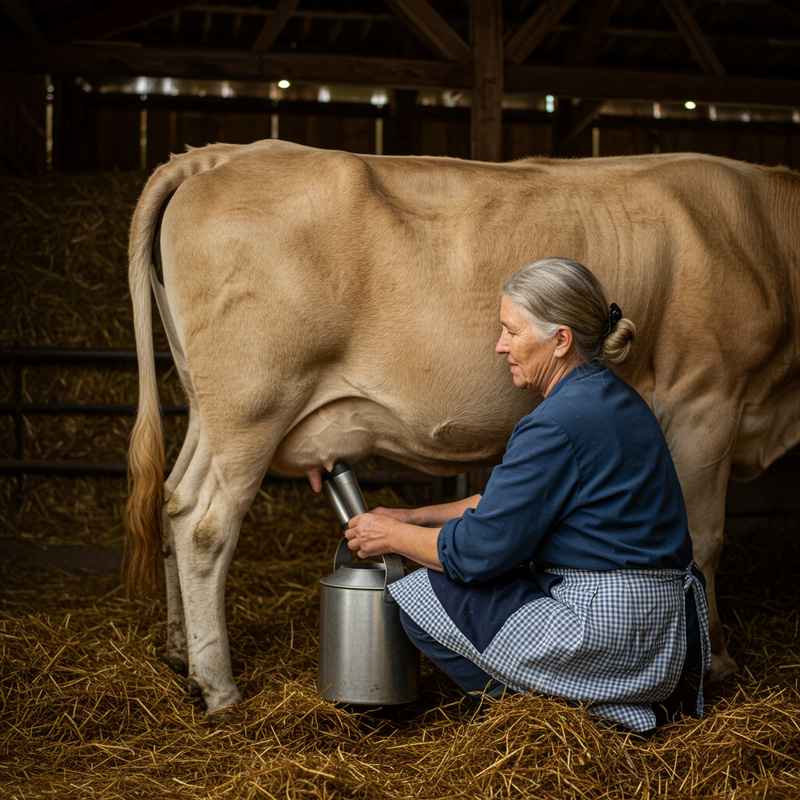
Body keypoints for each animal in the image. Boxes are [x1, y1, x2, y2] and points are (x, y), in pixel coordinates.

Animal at [126, 139, 800, 715]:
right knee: (204, 522)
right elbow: (704, 540)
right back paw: (219, 687)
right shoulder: (706, 397)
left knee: (171, 497)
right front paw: (717, 662)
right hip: (252, 404)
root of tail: (221, 155)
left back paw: (180, 656)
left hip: (206, 404)